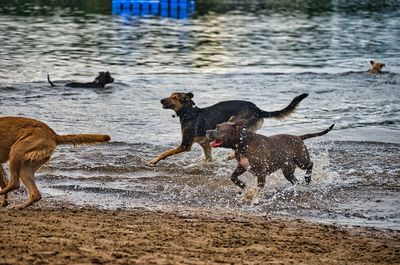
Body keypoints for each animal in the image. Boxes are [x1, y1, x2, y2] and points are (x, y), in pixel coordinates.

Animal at [148, 92, 308, 164]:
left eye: (174, 97)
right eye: (170, 95)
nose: (161, 100)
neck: (189, 113)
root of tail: (258, 109)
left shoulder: (185, 145)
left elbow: (166, 152)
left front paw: (154, 160)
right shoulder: (206, 144)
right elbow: (208, 159)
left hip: (234, 121)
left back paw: (232, 154)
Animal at [206, 117, 334, 190]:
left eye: (218, 128)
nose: (207, 131)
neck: (242, 143)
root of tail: (299, 137)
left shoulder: (261, 173)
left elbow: (259, 189)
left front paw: (255, 199)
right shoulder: (242, 166)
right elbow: (233, 177)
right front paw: (243, 186)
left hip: (301, 160)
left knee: (310, 164)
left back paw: (307, 178)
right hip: (288, 171)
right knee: (295, 179)